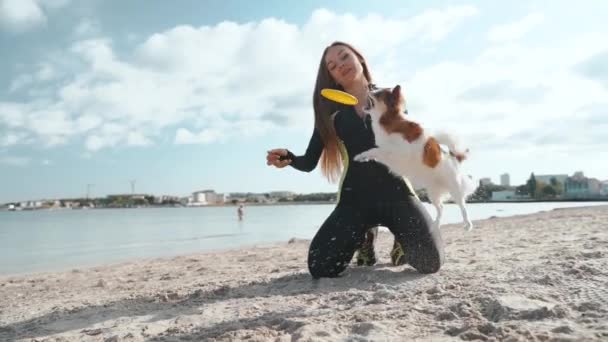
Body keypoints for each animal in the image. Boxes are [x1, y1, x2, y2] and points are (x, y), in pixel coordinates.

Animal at [354, 84, 478, 231]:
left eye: (378, 93)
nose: (369, 85)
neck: (389, 120)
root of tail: (454, 158)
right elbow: (373, 151)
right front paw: (362, 157)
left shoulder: (399, 150)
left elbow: (377, 150)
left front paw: (364, 155)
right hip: (433, 193)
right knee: (441, 208)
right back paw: (435, 224)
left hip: (454, 189)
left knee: (462, 206)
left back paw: (467, 224)